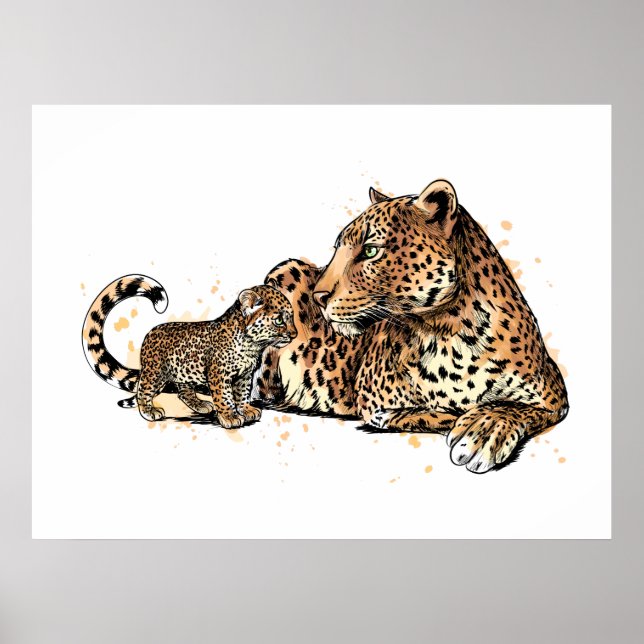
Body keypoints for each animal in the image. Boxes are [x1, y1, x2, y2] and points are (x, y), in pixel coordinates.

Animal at [83, 276, 296, 428]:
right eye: (279, 320)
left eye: (292, 317)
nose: (294, 334)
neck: (252, 346)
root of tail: (150, 334)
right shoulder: (219, 374)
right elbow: (225, 396)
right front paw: (229, 416)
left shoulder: (244, 375)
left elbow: (242, 393)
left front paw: (245, 410)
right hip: (156, 373)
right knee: (142, 389)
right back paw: (149, 410)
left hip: (184, 372)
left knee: (183, 393)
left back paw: (201, 405)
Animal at [256, 179, 569, 473]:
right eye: (337, 250)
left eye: (370, 251)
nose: (317, 296)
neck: (447, 331)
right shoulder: (369, 397)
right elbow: (419, 412)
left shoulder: (555, 395)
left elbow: (514, 407)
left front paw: (484, 427)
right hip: (283, 273)